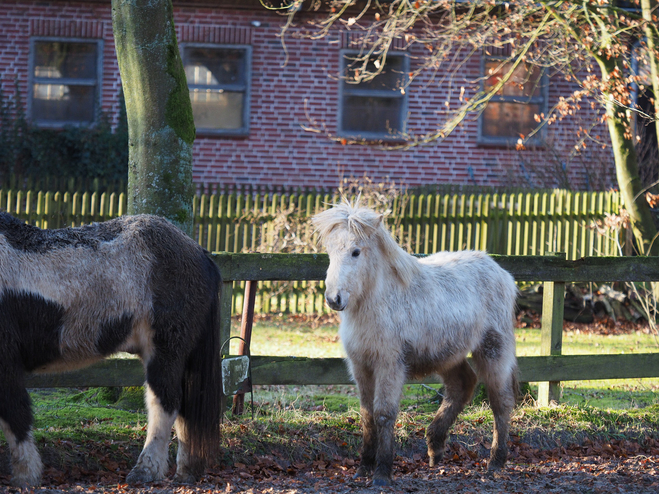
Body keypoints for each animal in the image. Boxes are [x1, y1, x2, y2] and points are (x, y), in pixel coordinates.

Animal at [312, 201, 520, 486]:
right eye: (330, 252)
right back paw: (435, 447)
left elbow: (384, 414)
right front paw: (363, 468)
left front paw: (382, 473)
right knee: (462, 386)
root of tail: (502, 273)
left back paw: (496, 462)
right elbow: (367, 416)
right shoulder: (361, 367)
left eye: (356, 252)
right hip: (448, 355)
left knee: (501, 402)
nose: (334, 299)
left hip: (492, 351)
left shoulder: (389, 365)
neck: (379, 301)